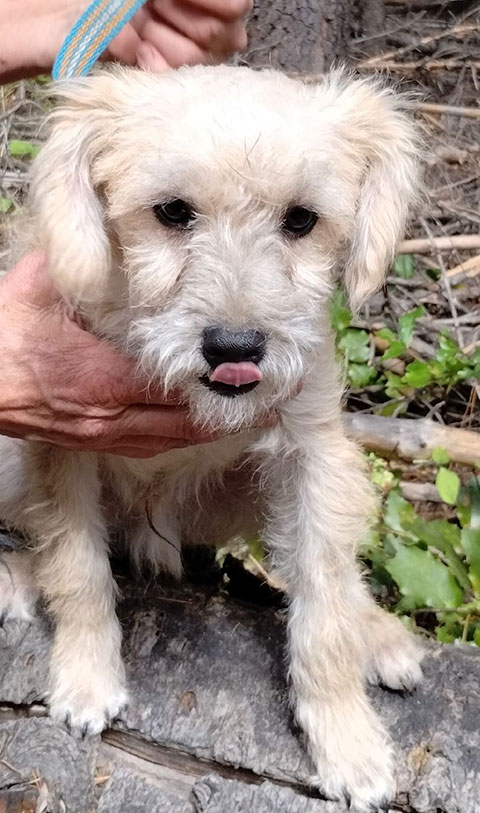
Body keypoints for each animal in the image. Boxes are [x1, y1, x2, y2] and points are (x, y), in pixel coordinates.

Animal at [0, 65, 422, 812]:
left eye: (300, 220)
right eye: (172, 212)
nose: (234, 348)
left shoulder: (312, 455)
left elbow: (325, 601)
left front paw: (346, 739)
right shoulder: (61, 440)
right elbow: (77, 568)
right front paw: (86, 677)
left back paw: (378, 633)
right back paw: (17, 576)